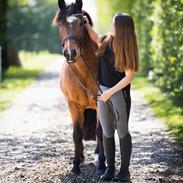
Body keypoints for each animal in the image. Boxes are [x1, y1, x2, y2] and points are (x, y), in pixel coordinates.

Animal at [53, 0, 106, 176]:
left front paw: (102, 165)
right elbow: (77, 134)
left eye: (82, 23)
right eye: (60, 24)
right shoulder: (73, 105)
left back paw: (98, 156)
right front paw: (75, 166)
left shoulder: (100, 103)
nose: (71, 53)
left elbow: (99, 132)